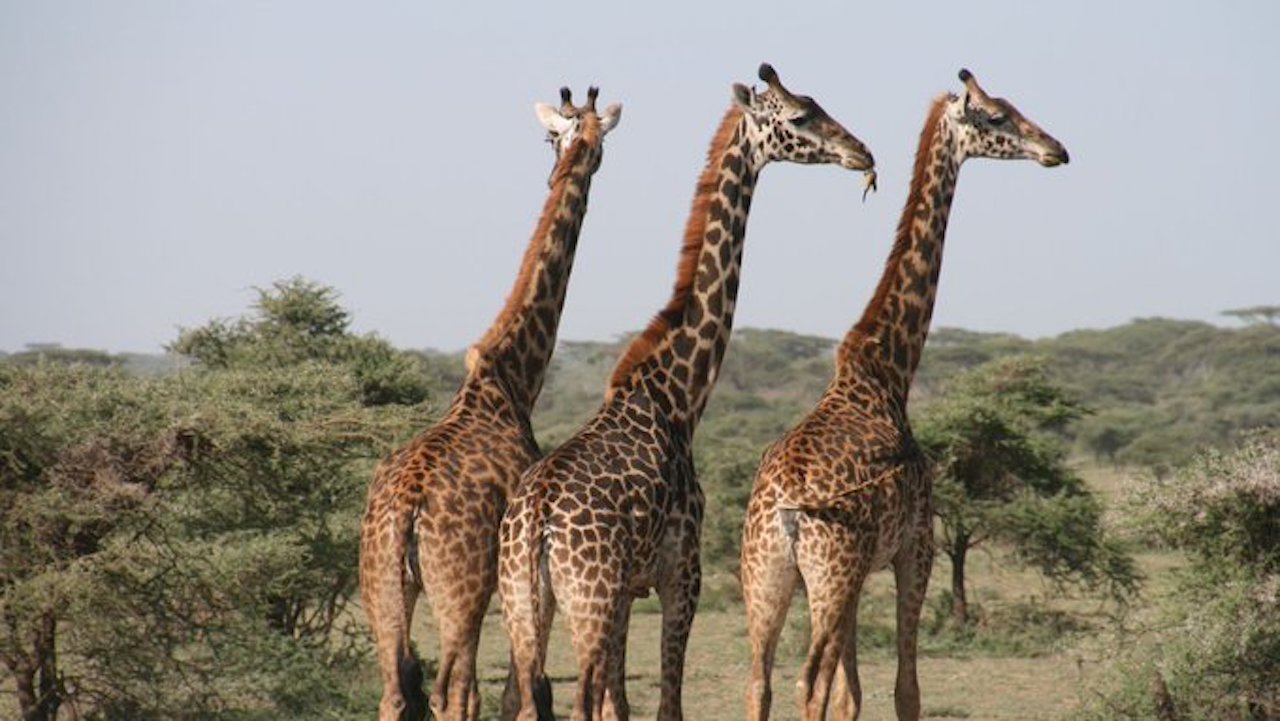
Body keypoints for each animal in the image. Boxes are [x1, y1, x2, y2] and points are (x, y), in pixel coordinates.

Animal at [359, 86, 622, 721]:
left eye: (559, 135)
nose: (575, 161)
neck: (512, 379)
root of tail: (405, 510)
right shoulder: (516, 580)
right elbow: (518, 691)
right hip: (460, 588)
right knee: (453, 691)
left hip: (380, 586)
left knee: (394, 692)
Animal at [498, 63, 875, 721]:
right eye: (800, 116)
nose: (862, 153)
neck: (678, 393)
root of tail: (536, 522)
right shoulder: (683, 572)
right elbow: (666, 701)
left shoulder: (630, 589)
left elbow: (622, 705)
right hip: (588, 600)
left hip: (525, 604)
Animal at [738, 68, 1069, 721]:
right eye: (997, 116)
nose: (1056, 150)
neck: (888, 371)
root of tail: (785, 510)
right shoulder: (916, 548)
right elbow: (903, 689)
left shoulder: (866, 568)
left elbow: (854, 695)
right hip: (829, 571)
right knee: (807, 682)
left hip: (767, 577)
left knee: (760, 681)